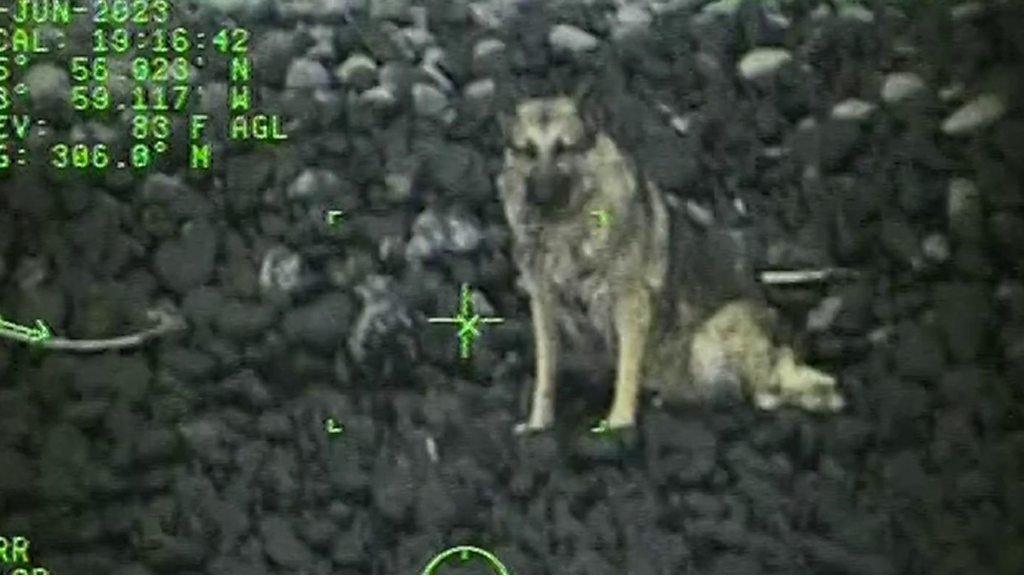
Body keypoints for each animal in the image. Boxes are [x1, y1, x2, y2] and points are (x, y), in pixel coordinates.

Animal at [497, 96, 847, 430]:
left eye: (563, 148)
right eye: (528, 151)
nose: (538, 197)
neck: (566, 223)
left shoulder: (630, 304)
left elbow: (627, 369)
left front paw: (619, 422)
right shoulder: (544, 306)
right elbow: (545, 373)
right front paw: (538, 423)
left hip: (710, 338)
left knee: (761, 392)